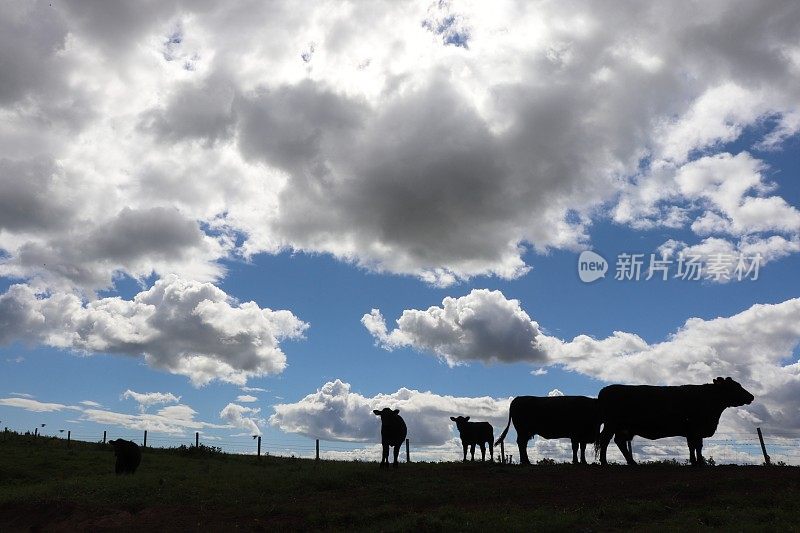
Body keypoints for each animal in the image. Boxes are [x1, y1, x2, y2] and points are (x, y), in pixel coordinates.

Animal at [596, 374, 752, 466]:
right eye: (735, 386)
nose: (751, 397)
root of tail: (604, 390)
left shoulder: (693, 431)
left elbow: (694, 446)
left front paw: (695, 461)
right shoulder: (695, 428)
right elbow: (696, 446)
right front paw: (699, 462)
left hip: (621, 427)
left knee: (619, 441)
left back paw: (632, 462)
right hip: (611, 424)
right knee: (605, 440)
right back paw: (604, 462)